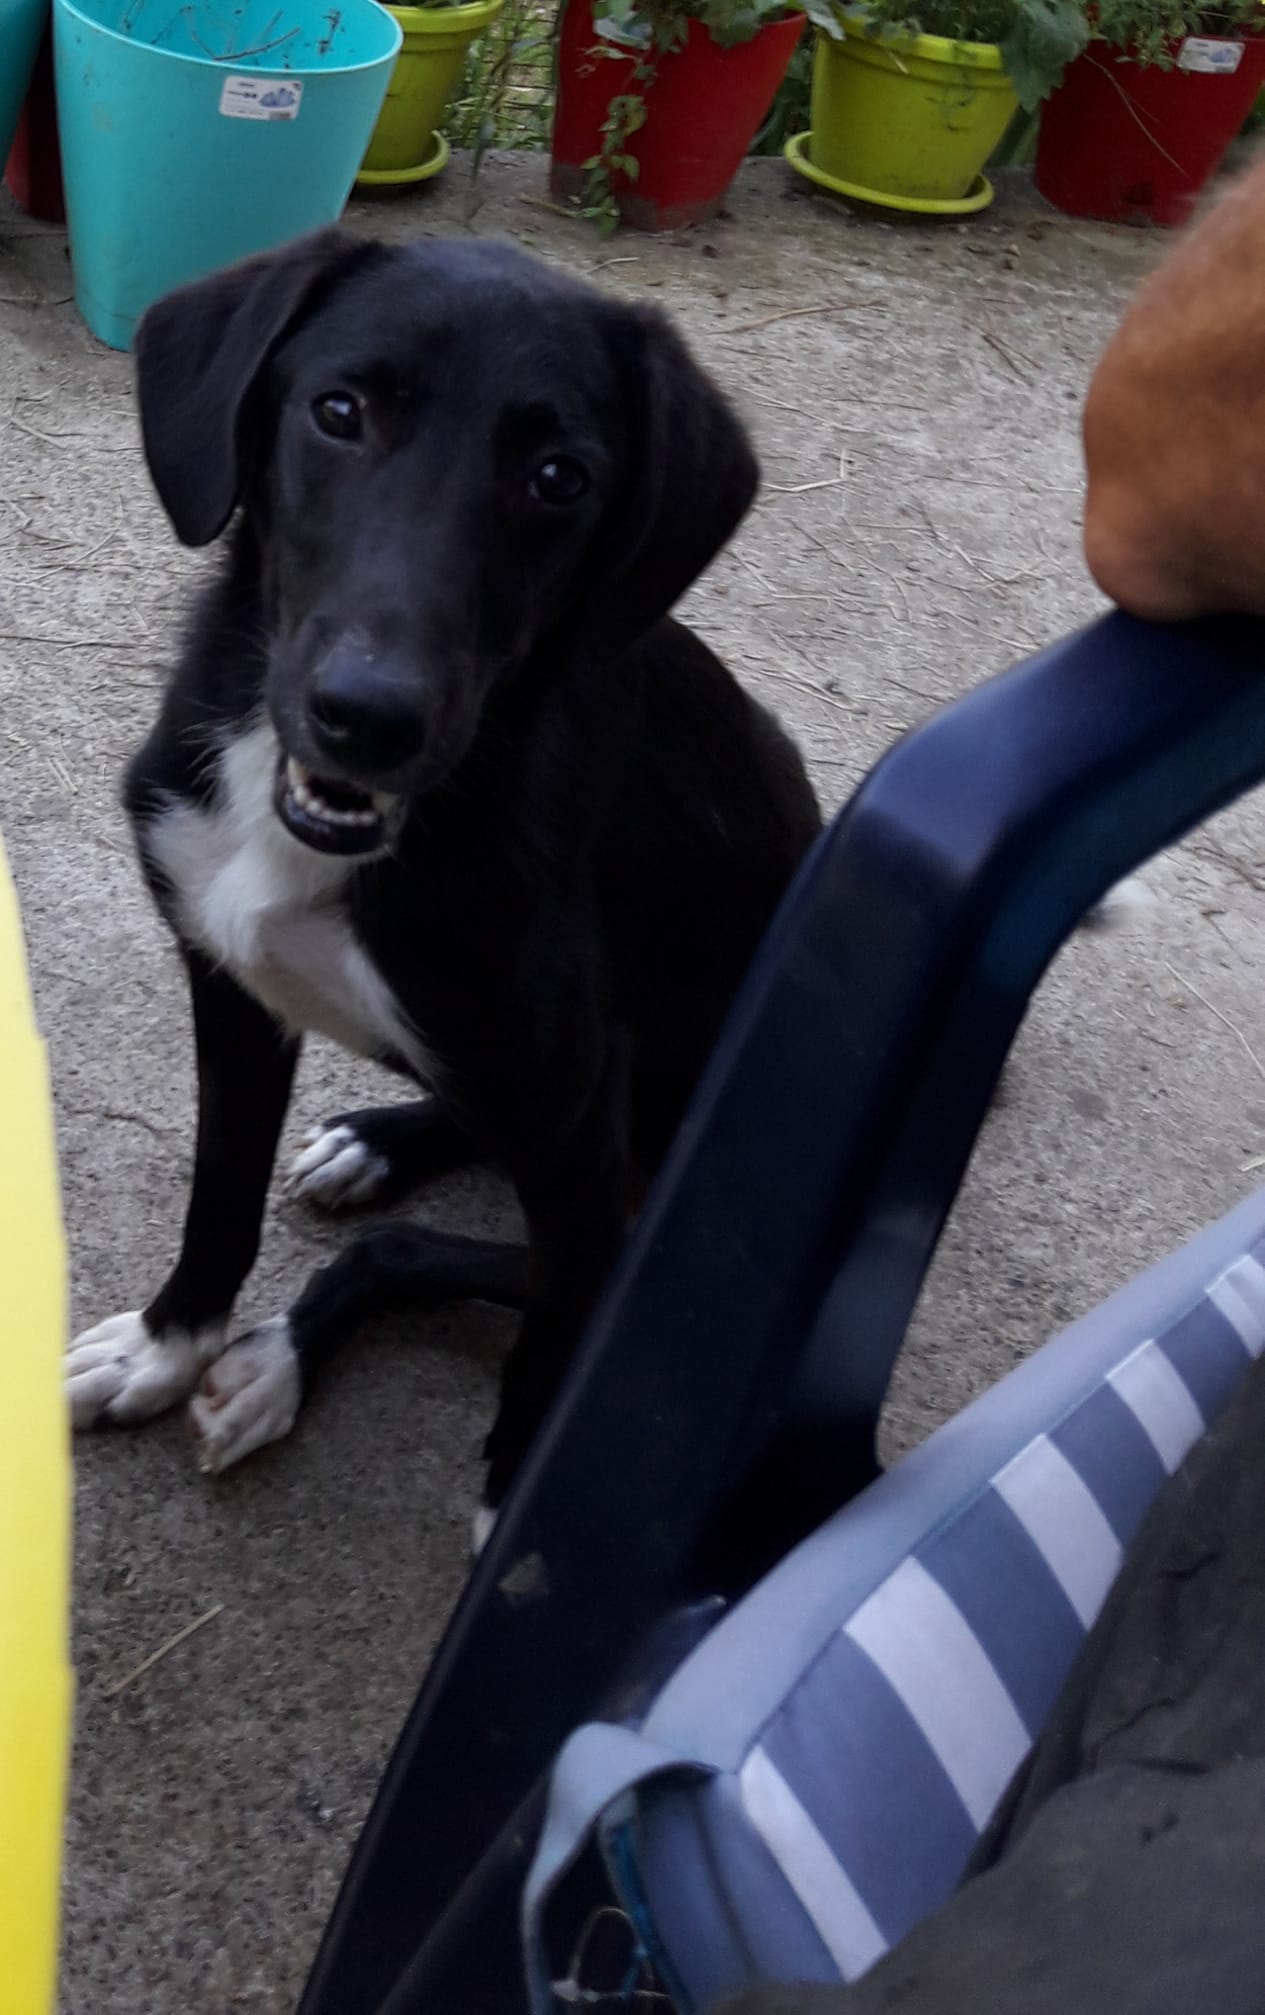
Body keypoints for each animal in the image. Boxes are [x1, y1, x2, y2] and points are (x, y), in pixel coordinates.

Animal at [66, 231, 821, 1523]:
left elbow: (552, 1346)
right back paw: (366, 1161)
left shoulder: (574, 1125)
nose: (369, 718)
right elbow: (220, 1198)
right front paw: (169, 1346)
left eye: (560, 478)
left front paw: (511, 1526)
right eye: (338, 411)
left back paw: (291, 1344)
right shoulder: (232, 987)